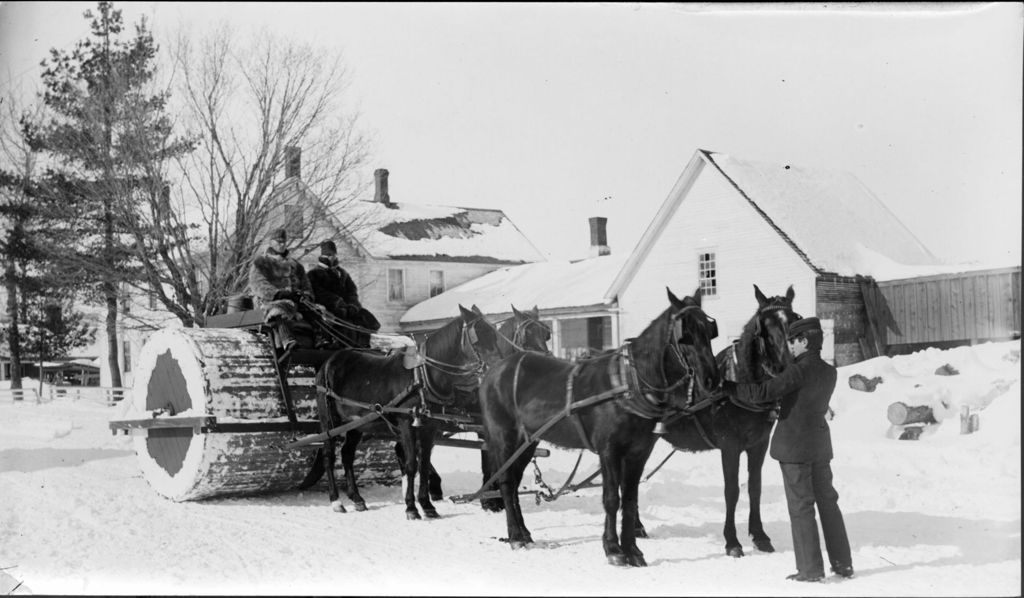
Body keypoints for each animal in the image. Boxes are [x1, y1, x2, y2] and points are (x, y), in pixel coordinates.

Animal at [311, 303, 503, 518]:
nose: (499, 366)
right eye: (479, 336)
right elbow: (411, 464)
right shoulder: (406, 424)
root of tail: (329, 361)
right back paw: (336, 501)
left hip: (357, 424)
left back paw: (357, 498)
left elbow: (424, 464)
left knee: (347, 454)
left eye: (493, 334)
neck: (422, 377)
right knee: (328, 454)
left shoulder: (430, 426)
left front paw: (427, 505)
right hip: (329, 420)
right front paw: (411, 507)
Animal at [475, 288, 716, 565]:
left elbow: (630, 500)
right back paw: (515, 535)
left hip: (528, 441)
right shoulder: (609, 450)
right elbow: (611, 499)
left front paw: (633, 550)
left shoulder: (638, 452)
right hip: (504, 436)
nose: (712, 378)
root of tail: (494, 370)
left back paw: (524, 533)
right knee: (505, 482)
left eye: (709, 331)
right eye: (685, 335)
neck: (628, 383)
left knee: (514, 483)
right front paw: (613, 549)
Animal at [659, 284, 794, 557]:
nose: (787, 366)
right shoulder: (729, 446)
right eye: (765, 327)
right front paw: (732, 541)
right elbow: (731, 491)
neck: (742, 384)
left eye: (795, 319)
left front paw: (760, 536)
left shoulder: (758, 445)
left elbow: (755, 487)